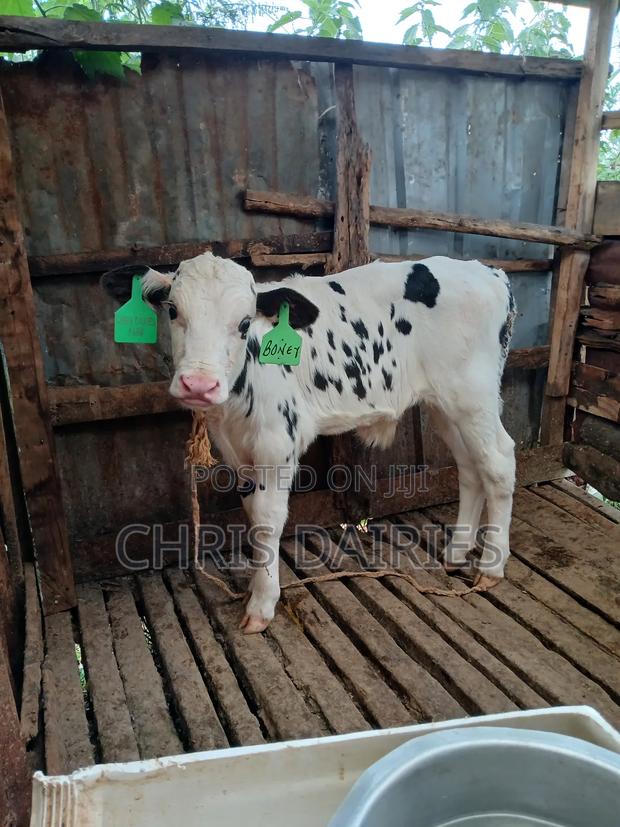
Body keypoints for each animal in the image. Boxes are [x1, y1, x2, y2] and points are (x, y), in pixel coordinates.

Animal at [103, 252, 516, 633]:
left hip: (473, 396)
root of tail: (487, 271)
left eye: (243, 322)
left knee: (498, 462)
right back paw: (456, 552)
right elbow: (251, 512)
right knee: (470, 467)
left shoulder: (276, 444)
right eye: (173, 310)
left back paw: (492, 566)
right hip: (444, 406)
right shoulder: (240, 455)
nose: (199, 385)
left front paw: (262, 604)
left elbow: (268, 520)